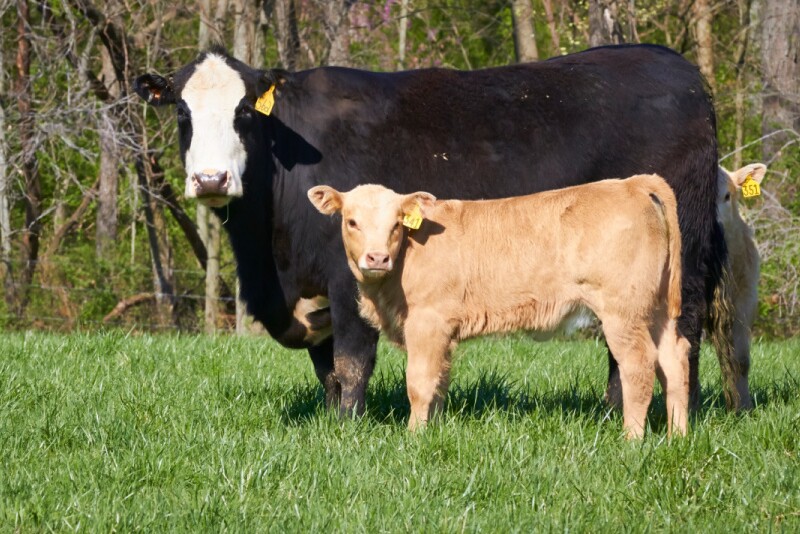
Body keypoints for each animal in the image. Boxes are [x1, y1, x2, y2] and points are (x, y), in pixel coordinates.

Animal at [307, 175, 689, 438]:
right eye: (351, 221)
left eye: (396, 224)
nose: (377, 257)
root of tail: (631, 183)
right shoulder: (444, 331)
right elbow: (440, 380)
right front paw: (434, 429)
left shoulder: (427, 321)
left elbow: (419, 381)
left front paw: (414, 436)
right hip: (656, 309)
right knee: (674, 360)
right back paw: (678, 435)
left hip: (623, 312)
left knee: (639, 365)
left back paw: (632, 439)